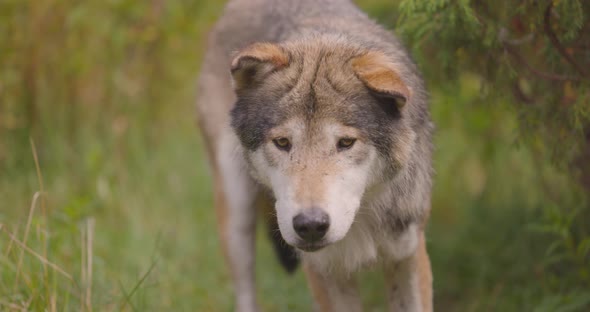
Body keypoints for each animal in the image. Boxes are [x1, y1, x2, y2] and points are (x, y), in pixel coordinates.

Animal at [198, 0, 434, 310]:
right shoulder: (323, 270)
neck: (360, 221)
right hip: (236, 219)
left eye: (345, 143)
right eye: (283, 142)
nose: (310, 225)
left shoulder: (408, 254)